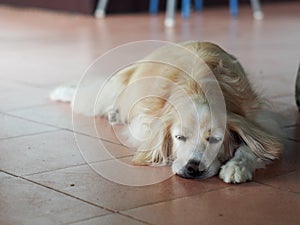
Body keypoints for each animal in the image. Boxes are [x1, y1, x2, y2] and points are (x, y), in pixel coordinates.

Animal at [50, 41, 282, 184]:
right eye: (179, 137)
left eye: (214, 139)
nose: (193, 168)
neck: (199, 90)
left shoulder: (258, 121)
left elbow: (252, 147)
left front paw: (236, 167)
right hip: (111, 92)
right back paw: (62, 92)